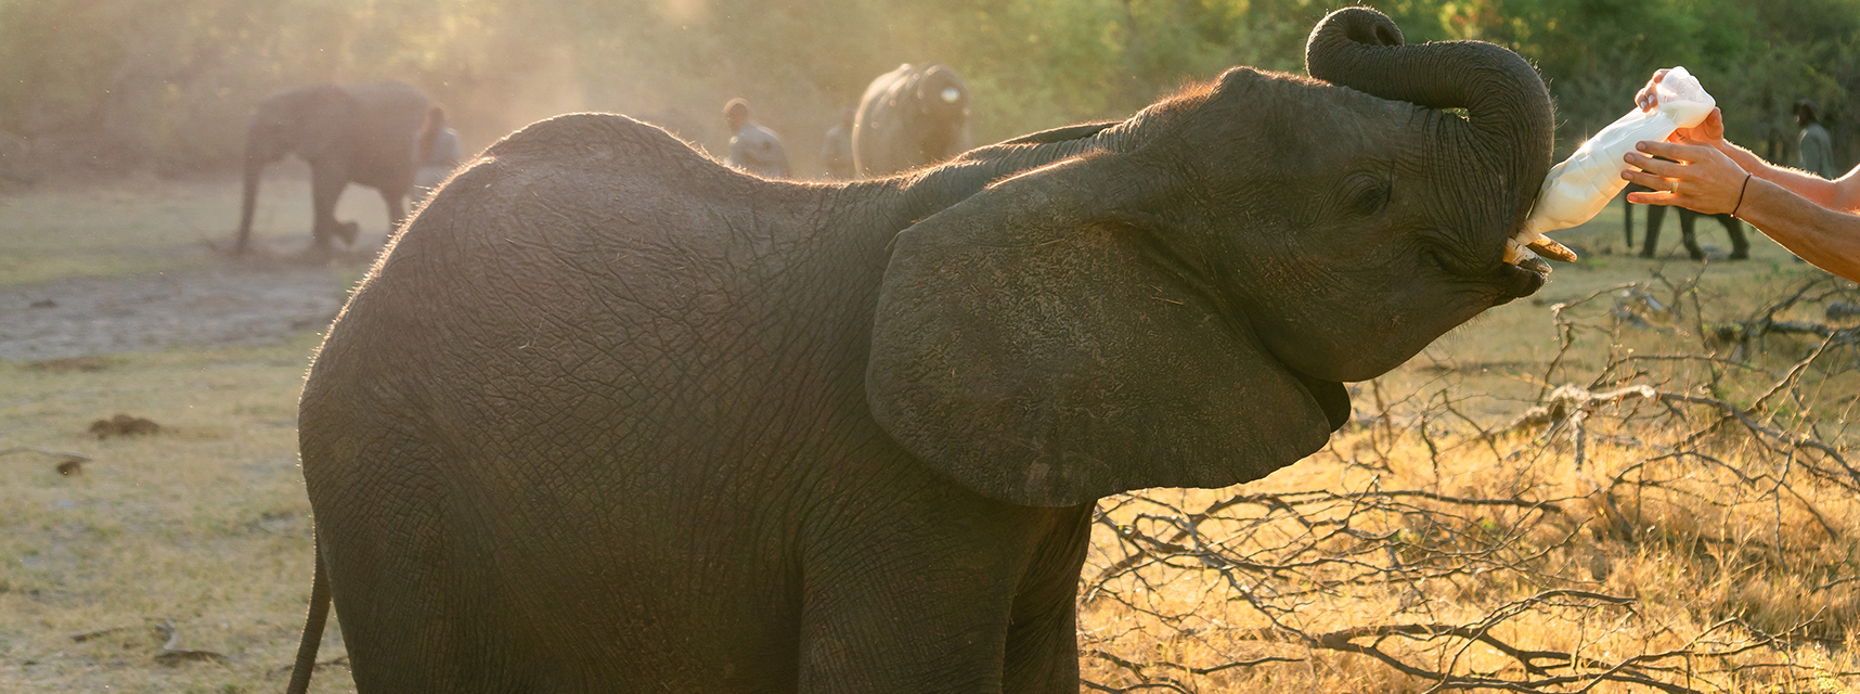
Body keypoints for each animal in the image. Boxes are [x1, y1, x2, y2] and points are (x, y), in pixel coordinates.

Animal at [234, 81, 432, 255]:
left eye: (275, 128)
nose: (243, 252)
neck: (300, 94)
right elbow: (321, 187)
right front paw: (344, 236)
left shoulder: (336, 138)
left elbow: (327, 185)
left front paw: (341, 239)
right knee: (391, 196)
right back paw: (388, 241)